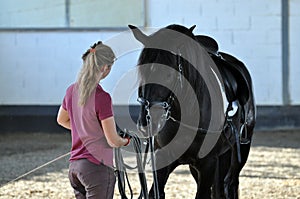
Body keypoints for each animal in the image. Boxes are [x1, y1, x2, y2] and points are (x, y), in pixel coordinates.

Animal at [129, 24, 255, 198]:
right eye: (141, 72)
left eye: (168, 74)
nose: (145, 123)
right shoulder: (163, 158)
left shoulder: (208, 164)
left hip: (241, 150)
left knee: (230, 183)